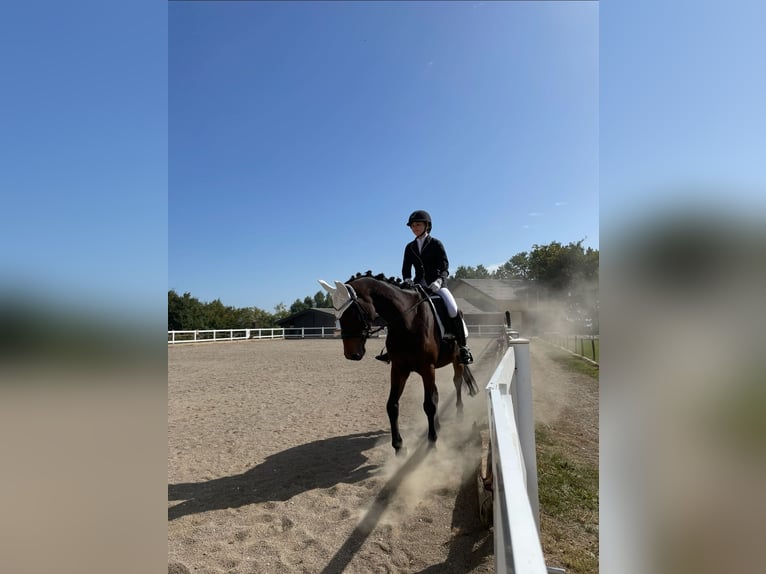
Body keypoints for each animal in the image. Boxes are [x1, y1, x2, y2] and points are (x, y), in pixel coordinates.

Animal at [319, 272, 479, 455]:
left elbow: (429, 405)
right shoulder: (399, 369)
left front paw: (432, 443)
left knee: (457, 383)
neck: (407, 321)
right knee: (437, 393)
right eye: (337, 315)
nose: (350, 354)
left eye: (352, 312)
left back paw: (459, 416)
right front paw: (399, 446)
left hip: (456, 360)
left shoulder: (427, 368)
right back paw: (437, 425)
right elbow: (392, 405)